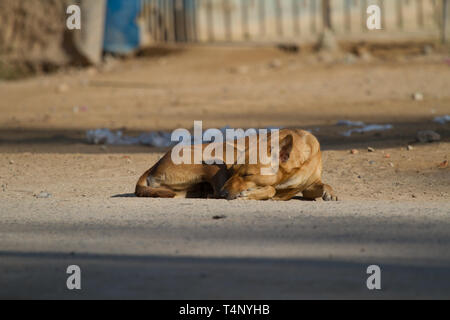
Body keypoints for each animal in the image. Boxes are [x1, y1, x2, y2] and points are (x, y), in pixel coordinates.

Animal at [135, 129, 336, 201]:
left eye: (247, 175)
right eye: (233, 172)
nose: (226, 193)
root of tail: (154, 165)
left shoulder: (309, 186)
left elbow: (323, 185)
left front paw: (329, 193)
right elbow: (271, 189)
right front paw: (252, 193)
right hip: (218, 158)